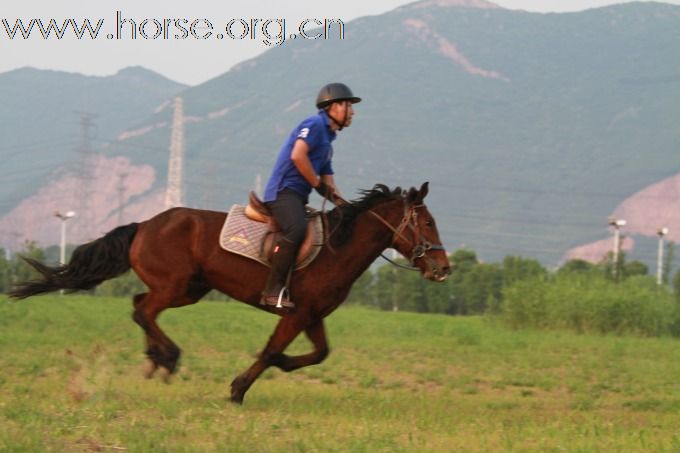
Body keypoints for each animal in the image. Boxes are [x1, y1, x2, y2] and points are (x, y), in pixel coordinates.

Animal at [10, 182, 452, 400]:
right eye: (428, 223)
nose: (443, 269)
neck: (337, 248)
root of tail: (145, 225)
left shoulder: (312, 315)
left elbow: (319, 353)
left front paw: (281, 367)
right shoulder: (295, 313)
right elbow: (271, 350)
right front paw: (238, 389)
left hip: (188, 289)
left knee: (140, 305)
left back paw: (155, 359)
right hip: (175, 285)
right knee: (143, 310)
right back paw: (169, 357)